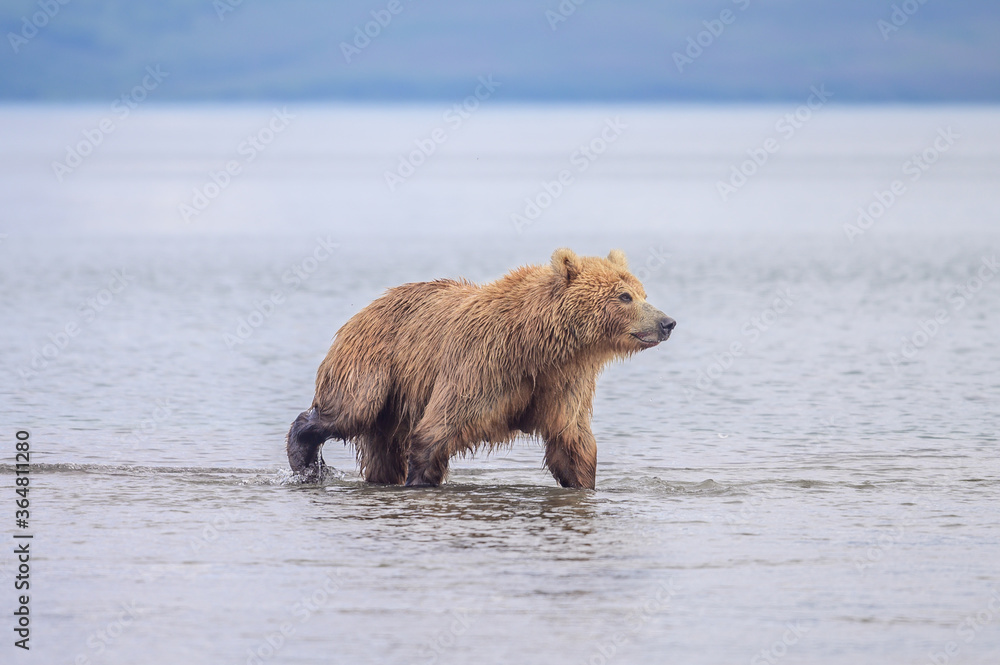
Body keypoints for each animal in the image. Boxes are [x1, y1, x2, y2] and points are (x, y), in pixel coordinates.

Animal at [286, 248, 675, 489]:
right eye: (624, 296)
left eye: (642, 292)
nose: (667, 322)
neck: (537, 345)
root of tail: (370, 305)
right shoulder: (482, 366)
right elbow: (435, 432)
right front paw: (420, 480)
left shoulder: (563, 382)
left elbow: (572, 442)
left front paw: (584, 483)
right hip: (375, 364)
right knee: (349, 410)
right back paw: (305, 459)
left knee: (383, 450)